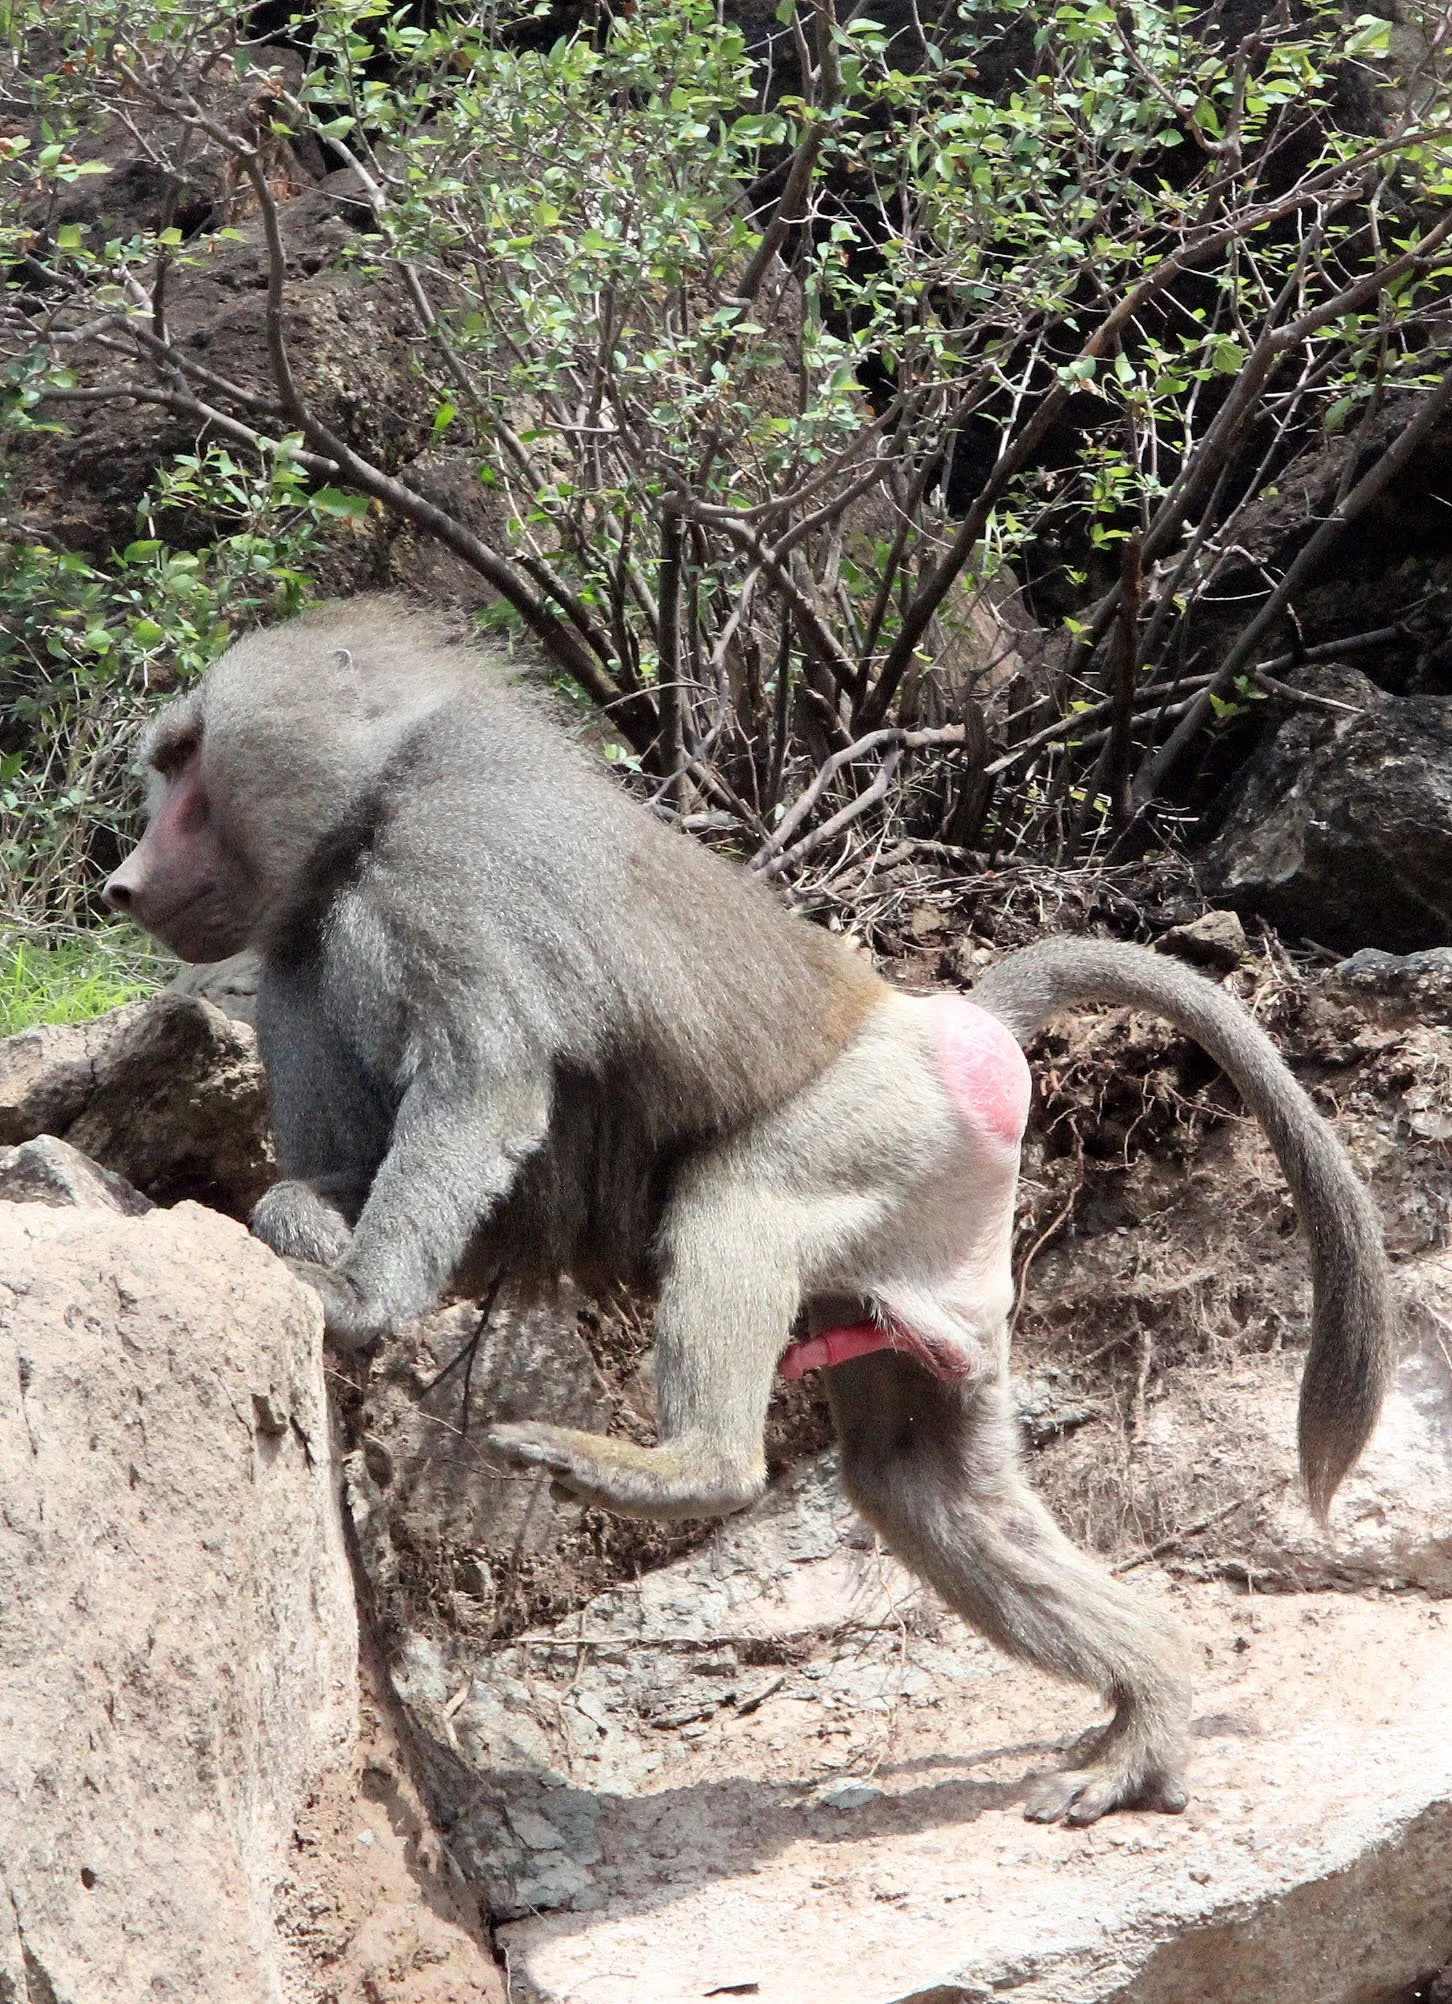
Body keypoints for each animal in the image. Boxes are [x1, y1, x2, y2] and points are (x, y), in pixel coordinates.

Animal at [104, 598, 1393, 1826]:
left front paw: (363, 1296)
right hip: (928, 1242)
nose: (121, 882)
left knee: (743, 1213)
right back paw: (1146, 1714)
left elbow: (482, 1093)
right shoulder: (293, 963)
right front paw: (313, 1242)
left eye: (185, 765)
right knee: (925, 1482)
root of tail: (952, 1019)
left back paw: (687, 1473)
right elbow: (323, 1179)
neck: (365, 819)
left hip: (881, 1124)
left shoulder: (447, 873)